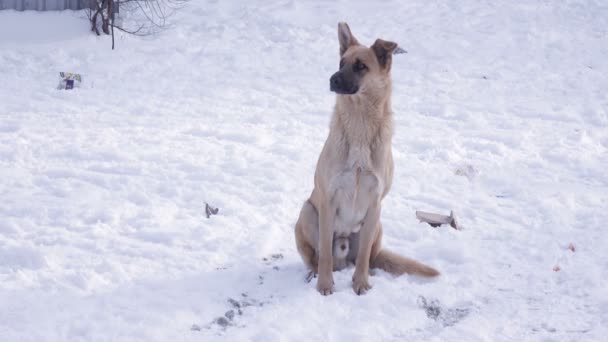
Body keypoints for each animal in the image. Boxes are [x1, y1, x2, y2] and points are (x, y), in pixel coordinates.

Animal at [294, 22, 436, 296]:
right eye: (341, 63)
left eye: (361, 66)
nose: (332, 79)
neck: (360, 125)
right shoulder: (328, 200)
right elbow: (324, 254)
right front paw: (324, 285)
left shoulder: (374, 204)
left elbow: (361, 259)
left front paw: (360, 283)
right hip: (307, 211)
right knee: (318, 256)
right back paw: (316, 273)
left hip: (377, 224)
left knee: (367, 257)